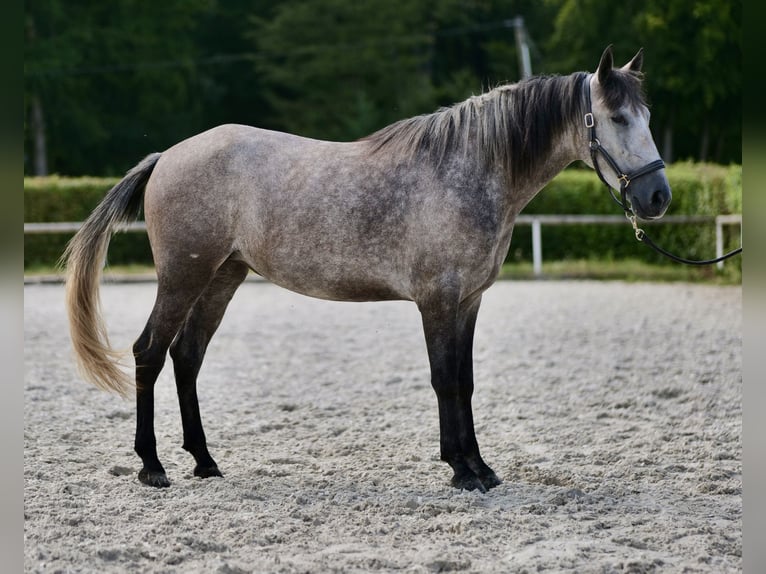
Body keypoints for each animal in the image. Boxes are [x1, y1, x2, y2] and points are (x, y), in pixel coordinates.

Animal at [64, 47, 672, 492]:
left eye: (647, 116)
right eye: (617, 118)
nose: (658, 197)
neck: (468, 168)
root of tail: (166, 157)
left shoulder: (469, 301)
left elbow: (466, 381)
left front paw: (481, 467)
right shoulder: (437, 301)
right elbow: (445, 380)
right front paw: (461, 470)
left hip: (222, 277)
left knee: (186, 357)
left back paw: (205, 462)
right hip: (183, 277)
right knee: (149, 353)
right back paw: (152, 467)